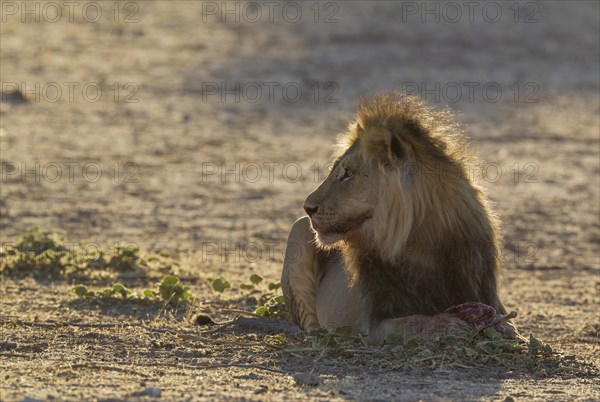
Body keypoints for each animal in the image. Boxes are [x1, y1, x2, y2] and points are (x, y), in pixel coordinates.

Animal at [278, 92, 516, 344]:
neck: (423, 239)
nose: (308, 207)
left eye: (348, 173)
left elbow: (505, 320)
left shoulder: (483, 290)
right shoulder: (374, 325)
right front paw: (444, 323)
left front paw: (504, 328)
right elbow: (411, 322)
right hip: (298, 230)